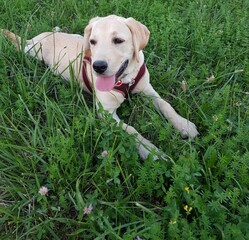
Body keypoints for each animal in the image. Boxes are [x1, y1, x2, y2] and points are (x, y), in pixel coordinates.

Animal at [0, 15, 198, 160]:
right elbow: (131, 130)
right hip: (33, 52)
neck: (126, 80)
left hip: (75, 36)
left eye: (118, 40)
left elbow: (166, 105)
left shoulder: (147, 89)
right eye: (94, 42)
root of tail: (40, 37)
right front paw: (150, 151)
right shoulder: (106, 113)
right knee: (20, 46)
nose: (98, 66)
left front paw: (184, 124)